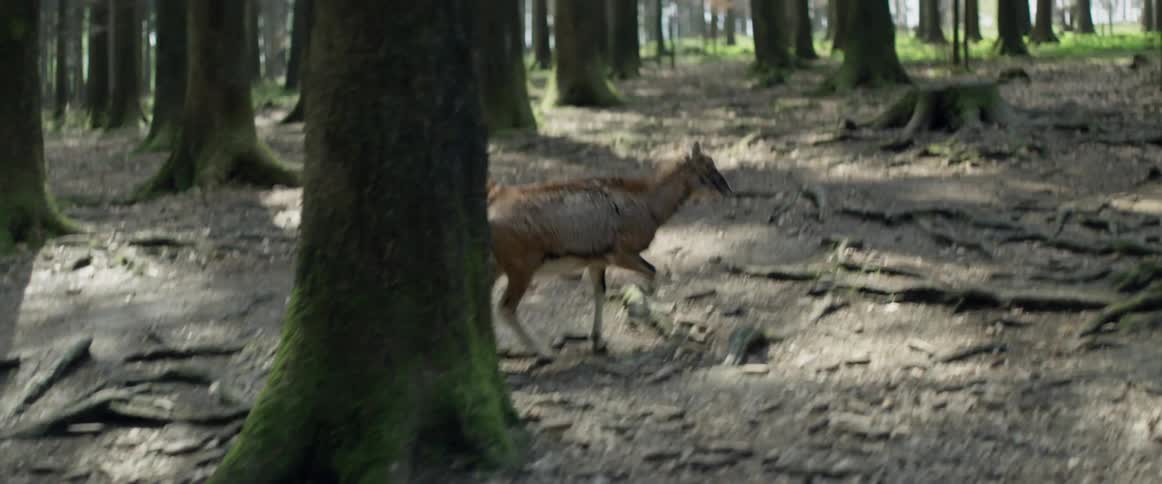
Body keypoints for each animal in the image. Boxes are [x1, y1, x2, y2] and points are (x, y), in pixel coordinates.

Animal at [486, 142, 732, 361]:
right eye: (707, 168)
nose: (728, 191)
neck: (647, 204)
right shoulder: (621, 254)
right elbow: (652, 273)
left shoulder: (597, 261)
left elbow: (600, 292)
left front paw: (598, 342)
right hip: (521, 268)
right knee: (506, 308)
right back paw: (543, 352)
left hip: (500, 267)